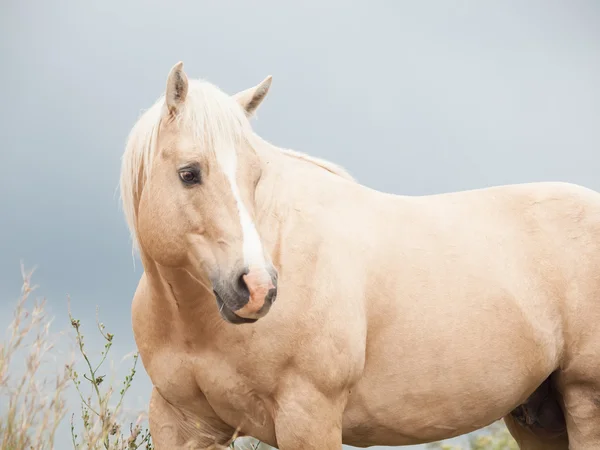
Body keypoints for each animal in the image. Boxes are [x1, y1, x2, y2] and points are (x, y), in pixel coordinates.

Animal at [119, 61, 600, 448]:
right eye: (189, 173)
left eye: (256, 176)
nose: (258, 288)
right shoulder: (184, 423)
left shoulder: (308, 416)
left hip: (584, 402)